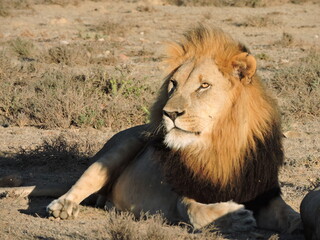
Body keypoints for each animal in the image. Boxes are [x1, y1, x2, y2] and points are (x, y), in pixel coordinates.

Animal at [2, 25, 302, 233]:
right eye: (174, 84)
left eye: (204, 86)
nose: (169, 113)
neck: (220, 143)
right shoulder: (179, 192)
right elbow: (193, 210)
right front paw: (236, 218)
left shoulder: (264, 193)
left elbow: (292, 216)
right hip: (121, 146)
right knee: (82, 181)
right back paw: (63, 206)